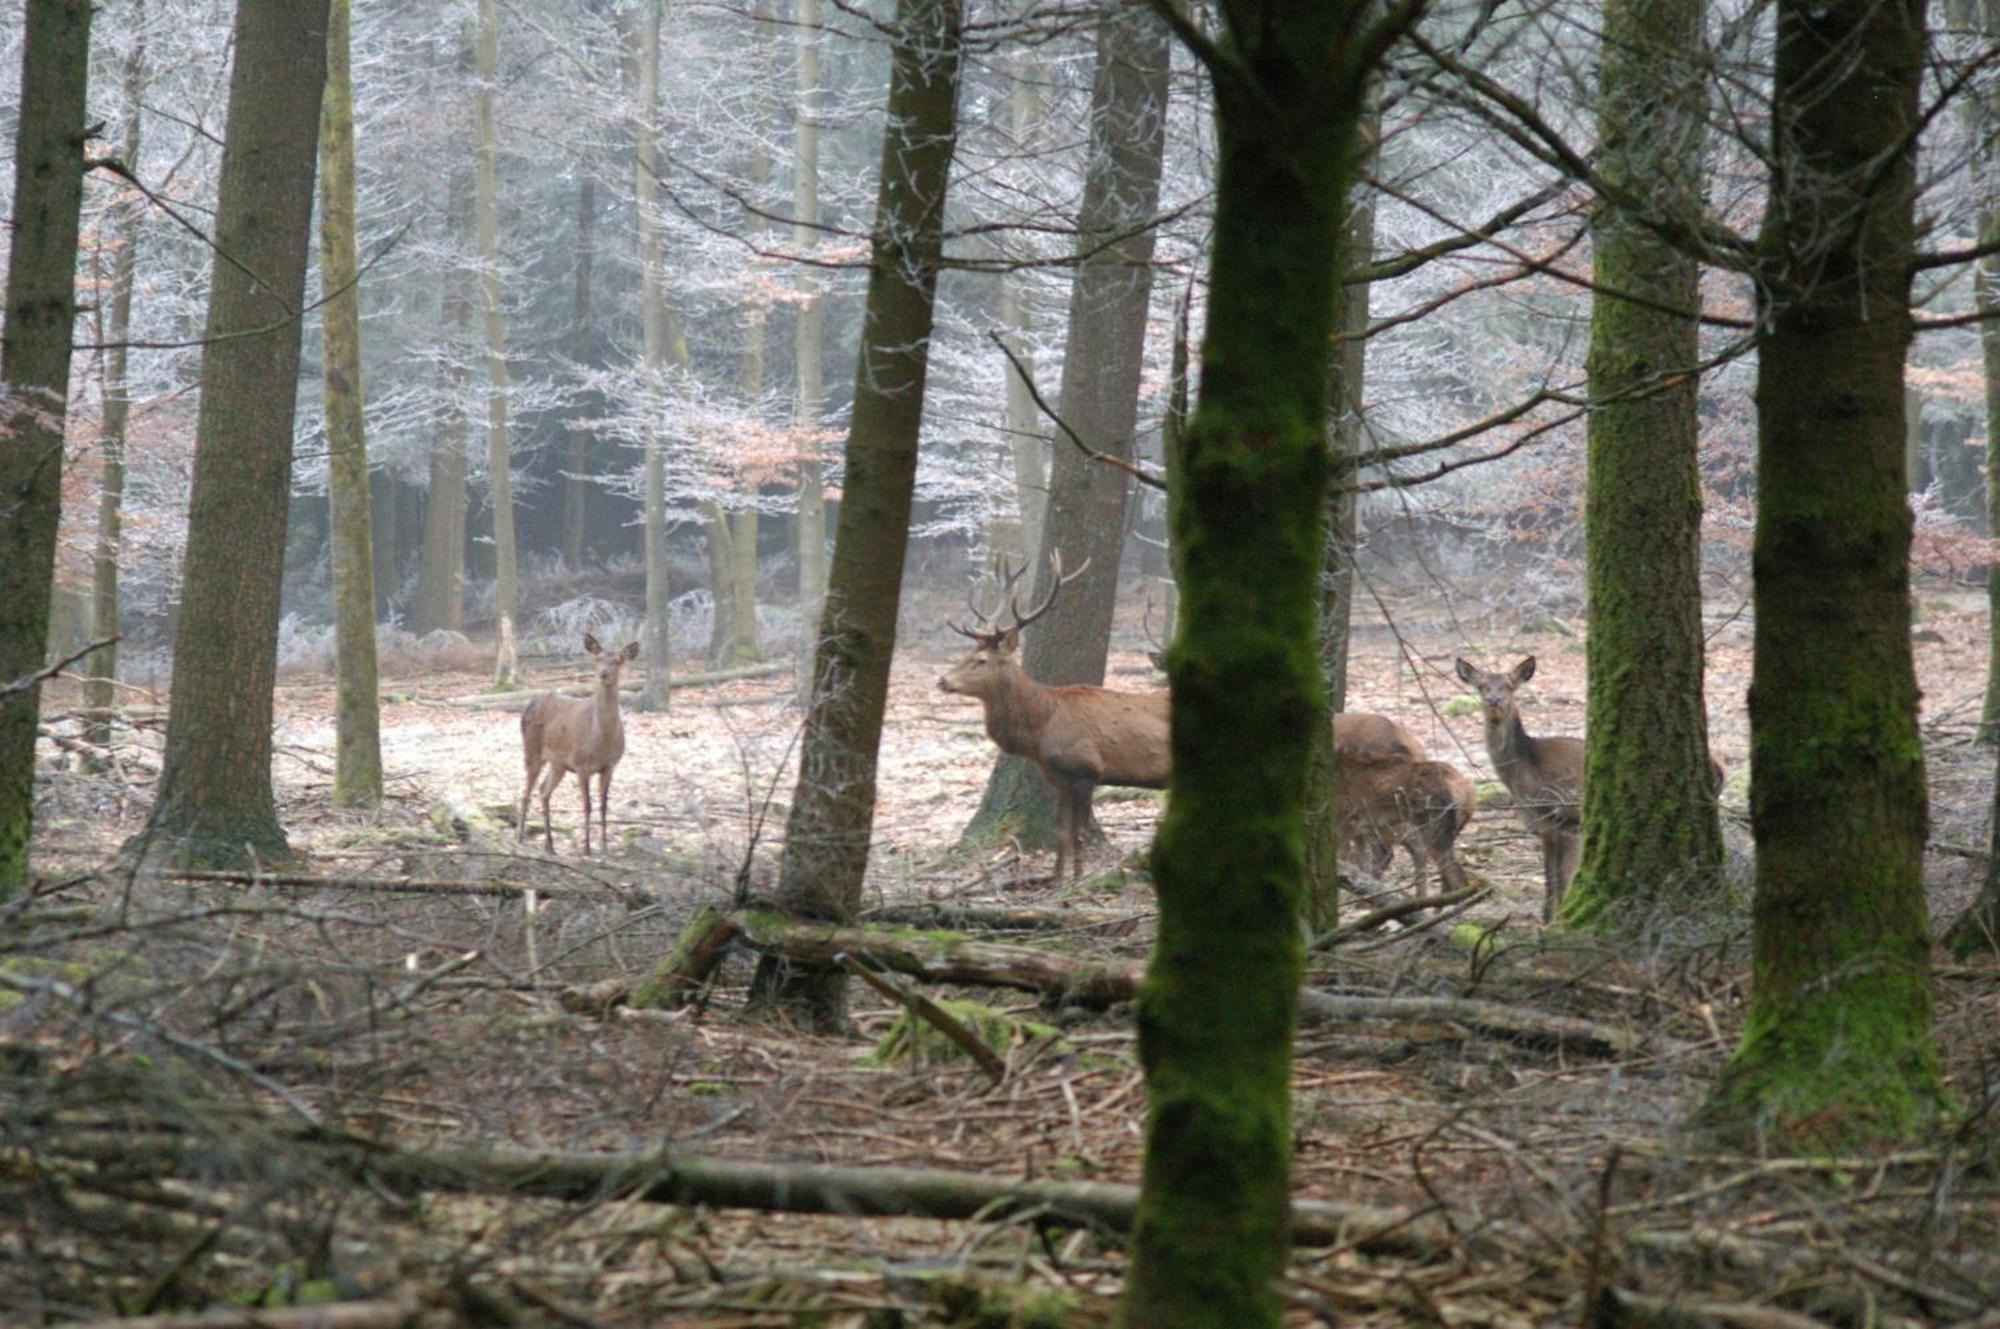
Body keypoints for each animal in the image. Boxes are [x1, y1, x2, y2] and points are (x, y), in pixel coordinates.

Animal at [524, 636, 640, 860]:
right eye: (598, 658)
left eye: (619, 660)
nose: (604, 673)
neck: (601, 739)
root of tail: (530, 702)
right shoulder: (581, 765)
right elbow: (587, 805)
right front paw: (586, 848)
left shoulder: (610, 765)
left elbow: (604, 806)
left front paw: (604, 847)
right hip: (532, 750)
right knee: (526, 792)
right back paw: (519, 838)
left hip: (557, 763)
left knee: (543, 790)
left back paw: (550, 846)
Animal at [940, 552, 1168, 880]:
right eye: (966, 655)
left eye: (981, 660)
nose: (942, 681)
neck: (1041, 730)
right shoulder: (1059, 779)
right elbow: (1061, 831)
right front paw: (1056, 878)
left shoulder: (1086, 770)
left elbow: (1079, 834)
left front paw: (1078, 880)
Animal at [1456, 656, 1576, 924]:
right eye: (1482, 686)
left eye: (1509, 686)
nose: (1494, 700)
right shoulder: (1548, 826)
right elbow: (1555, 876)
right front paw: (1549, 917)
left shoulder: (1559, 819)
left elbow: (1558, 877)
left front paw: (1552, 920)